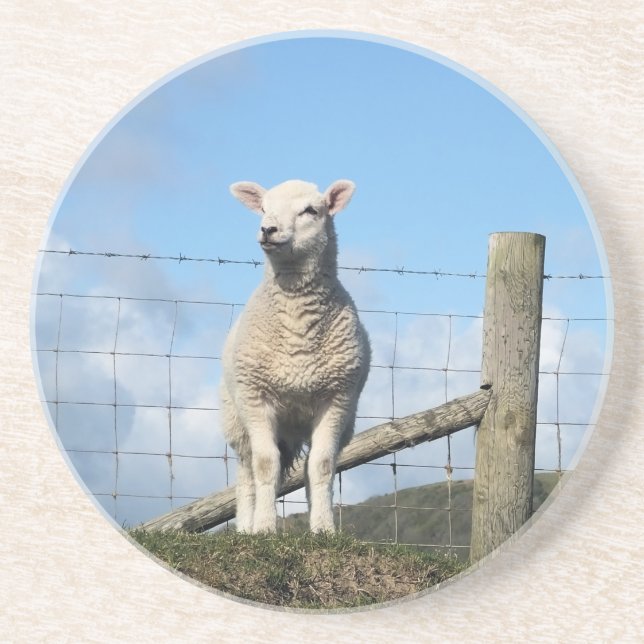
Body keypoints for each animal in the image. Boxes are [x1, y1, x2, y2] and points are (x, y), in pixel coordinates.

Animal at [220, 179, 371, 534]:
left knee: (307, 467)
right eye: (263, 208)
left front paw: (324, 529)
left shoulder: (337, 398)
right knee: (247, 472)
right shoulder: (255, 396)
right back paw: (245, 527)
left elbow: (322, 466)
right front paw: (263, 528)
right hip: (237, 418)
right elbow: (264, 465)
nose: (268, 229)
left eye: (310, 211)